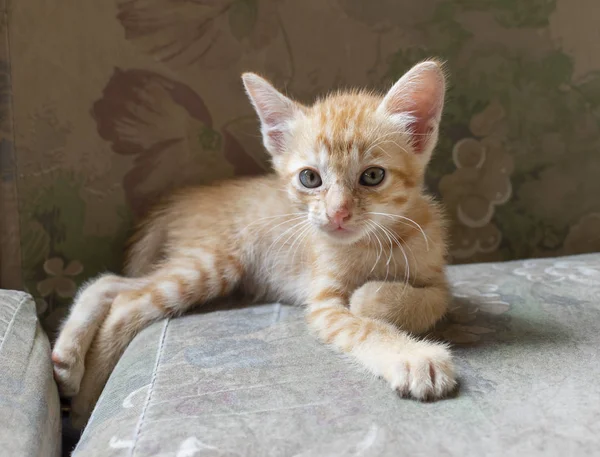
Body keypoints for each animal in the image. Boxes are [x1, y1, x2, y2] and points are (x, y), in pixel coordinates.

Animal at [52, 60, 454, 428]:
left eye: (372, 176)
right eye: (310, 178)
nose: (336, 214)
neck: (374, 244)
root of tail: (183, 198)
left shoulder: (438, 276)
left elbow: (430, 301)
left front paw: (373, 298)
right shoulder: (323, 302)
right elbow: (362, 327)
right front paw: (414, 358)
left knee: (110, 284)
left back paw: (67, 361)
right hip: (213, 262)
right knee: (126, 301)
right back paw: (86, 397)